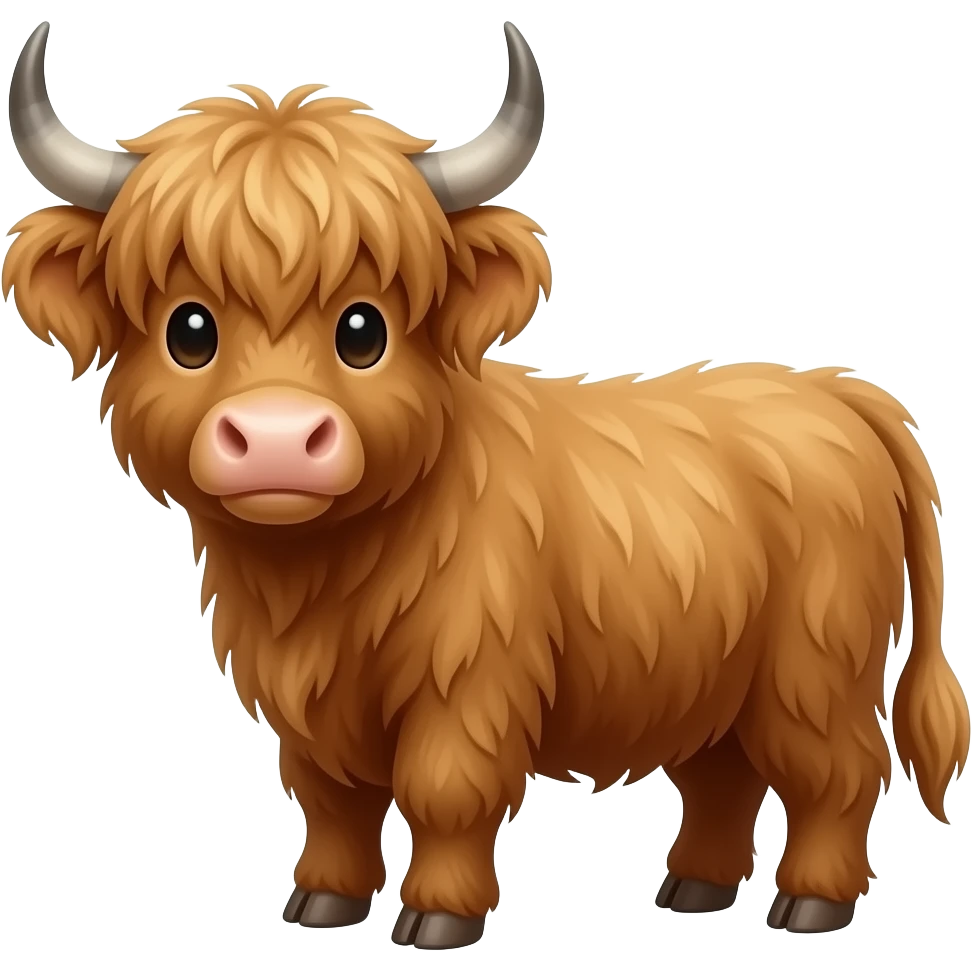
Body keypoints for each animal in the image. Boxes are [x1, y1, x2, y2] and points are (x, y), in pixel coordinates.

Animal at [4, 20, 968, 949]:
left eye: (364, 329)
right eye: (189, 329)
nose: (278, 439)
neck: (320, 583)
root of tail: (831, 389)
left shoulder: (469, 676)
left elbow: (444, 788)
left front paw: (439, 917)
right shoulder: (306, 708)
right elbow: (329, 798)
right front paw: (322, 899)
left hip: (812, 667)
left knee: (840, 770)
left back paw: (811, 902)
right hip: (712, 673)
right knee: (723, 776)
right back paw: (694, 888)